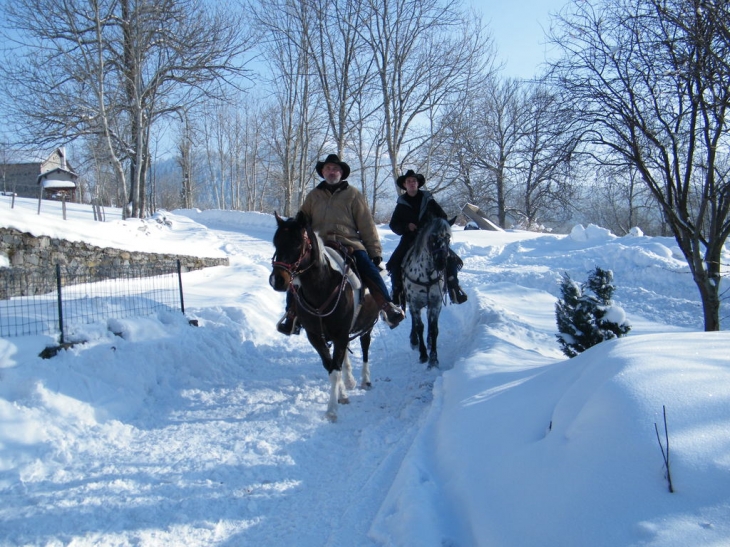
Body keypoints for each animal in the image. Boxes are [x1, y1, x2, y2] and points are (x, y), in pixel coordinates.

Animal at [268, 212, 382, 422]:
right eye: (276, 242)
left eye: (297, 243)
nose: (277, 280)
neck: (322, 287)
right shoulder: (315, 336)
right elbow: (330, 366)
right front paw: (342, 395)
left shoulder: (340, 334)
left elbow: (335, 370)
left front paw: (331, 410)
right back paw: (350, 381)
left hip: (367, 327)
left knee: (365, 348)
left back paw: (365, 380)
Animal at [398, 217, 450, 368]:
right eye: (432, 237)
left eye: (449, 238)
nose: (441, 262)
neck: (426, 275)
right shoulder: (415, 303)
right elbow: (419, 326)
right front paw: (423, 355)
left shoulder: (436, 303)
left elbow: (433, 328)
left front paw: (433, 358)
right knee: (414, 320)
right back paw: (414, 340)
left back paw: (429, 341)